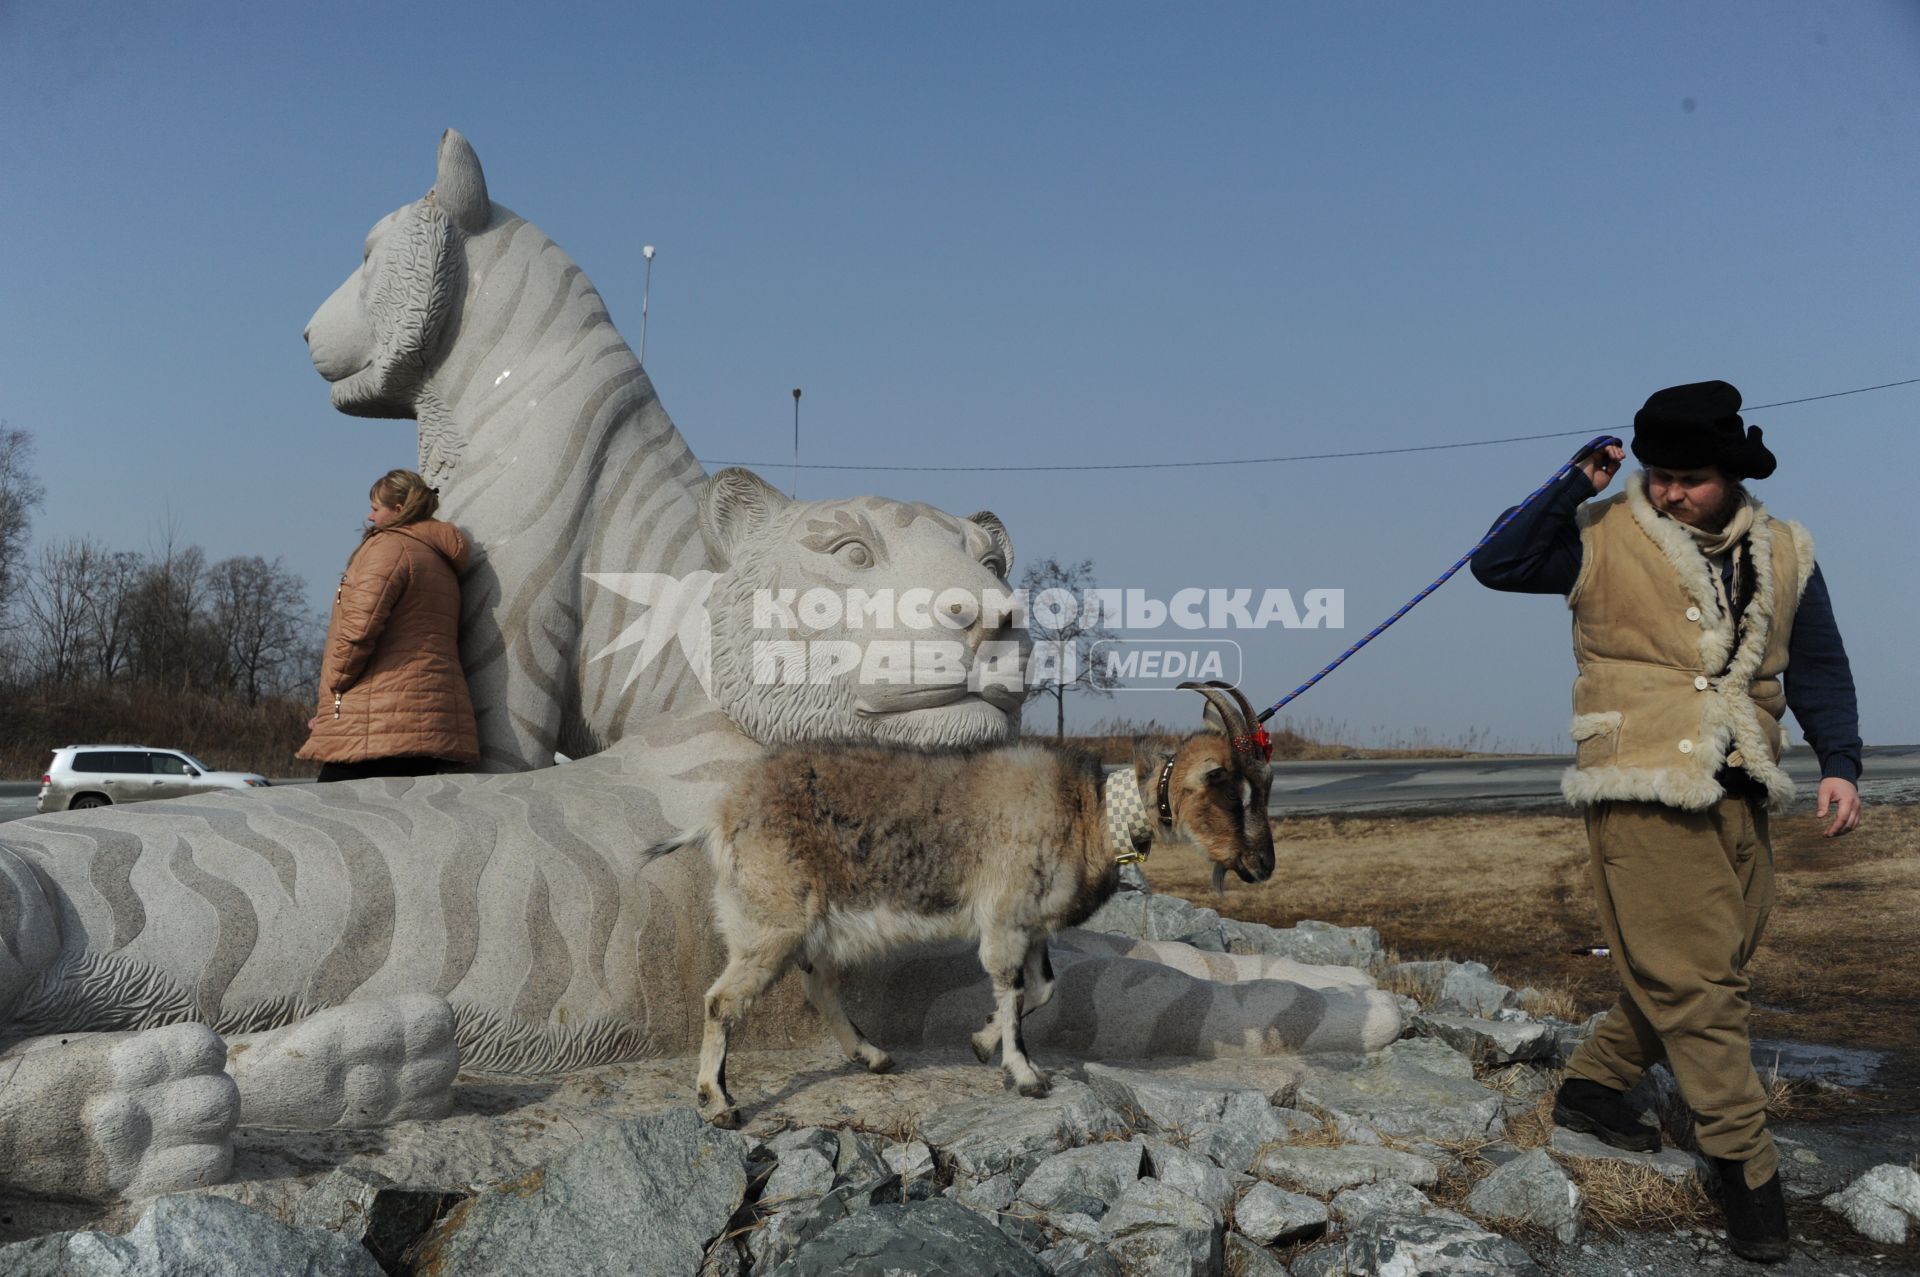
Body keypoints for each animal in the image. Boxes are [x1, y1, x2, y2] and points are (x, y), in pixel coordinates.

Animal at [652, 675, 1282, 1129]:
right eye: (1231, 791)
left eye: (1265, 789)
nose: (1263, 867)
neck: (1090, 813)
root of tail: (719, 817)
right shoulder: (1005, 916)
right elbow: (1012, 986)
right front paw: (1026, 1076)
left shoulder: (1031, 925)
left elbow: (1041, 989)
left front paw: (981, 1042)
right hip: (769, 918)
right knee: (720, 1001)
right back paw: (720, 1104)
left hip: (810, 925)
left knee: (819, 988)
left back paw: (873, 1057)